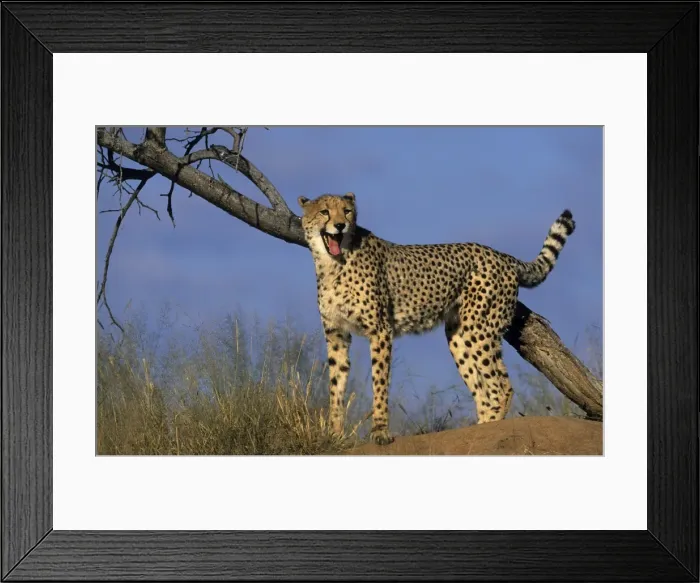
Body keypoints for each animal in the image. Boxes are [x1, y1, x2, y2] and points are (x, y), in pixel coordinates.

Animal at [298, 192, 575, 445]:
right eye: (324, 212)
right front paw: (334, 435)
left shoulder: (380, 330)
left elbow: (379, 381)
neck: (333, 263)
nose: (340, 225)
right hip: (458, 336)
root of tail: (501, 255)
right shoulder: (336, 335)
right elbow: (336, 385)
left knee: (500, 387)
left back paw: (492, 429)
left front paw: (380, 433)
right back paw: (481, 427)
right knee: (485, 391)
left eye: (346, 211)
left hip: (479, 329)